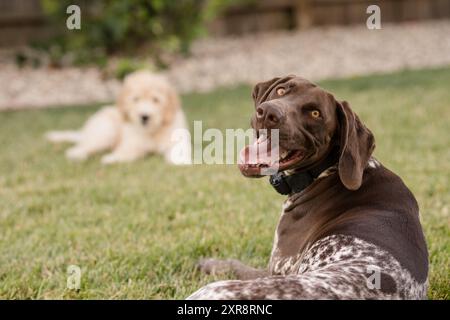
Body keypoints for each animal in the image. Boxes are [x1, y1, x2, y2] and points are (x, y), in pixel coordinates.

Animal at [46, 70, 191, 165]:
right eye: (135, 99)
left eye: (156, 100)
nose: (144, 117)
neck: (152, 132)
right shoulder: (131, 145)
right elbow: (125, 153)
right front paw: (111, 159)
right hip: (106, 131)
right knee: (83, 147)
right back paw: (77, 155)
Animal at [187, 75, 428, 300]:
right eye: (281, 90)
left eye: (315, 113)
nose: (268, 112)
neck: (324, 172)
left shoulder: (277, 268)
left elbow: (238, 265)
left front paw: (208, 263)